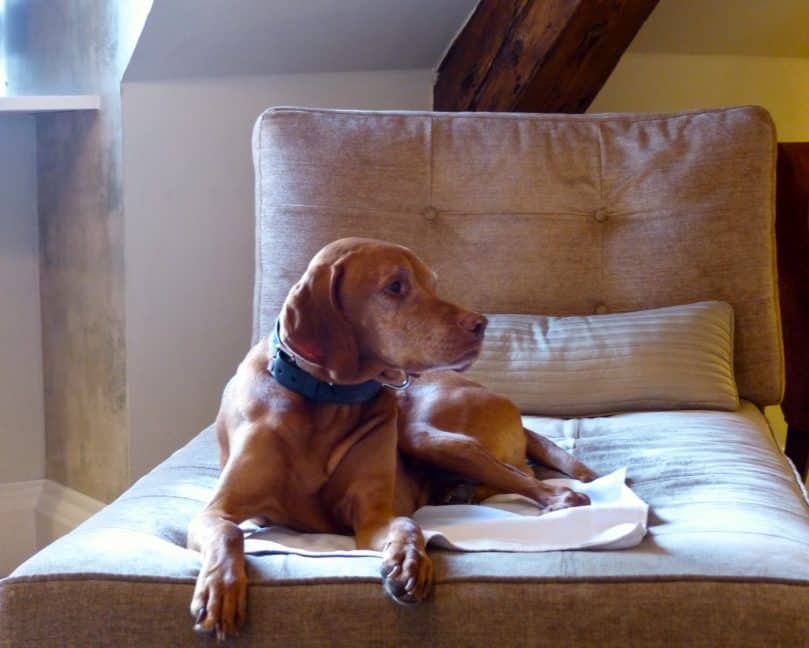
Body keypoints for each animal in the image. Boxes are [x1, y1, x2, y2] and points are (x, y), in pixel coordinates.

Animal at [189, 237, 592, 636]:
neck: (326, 399)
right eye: (396, 286)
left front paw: (409, 560)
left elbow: (407, 523)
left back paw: (556, 496)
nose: (481, 324)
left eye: (433, 284)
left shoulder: (373, 514)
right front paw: (220, 589)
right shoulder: (214, 511)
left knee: (523, 475)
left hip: (426, 436)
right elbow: (229, 532)